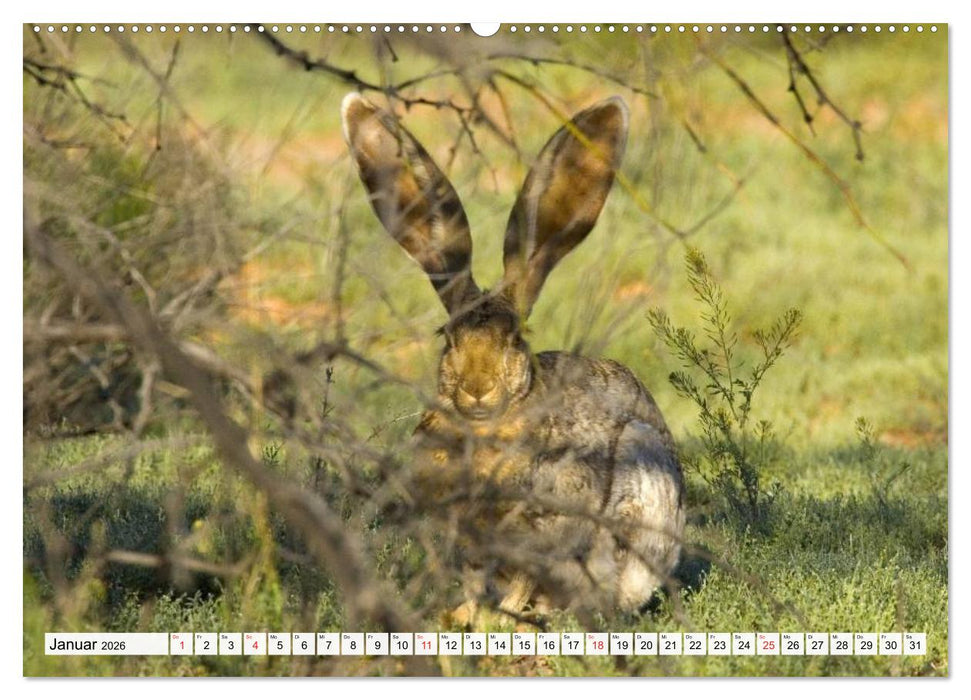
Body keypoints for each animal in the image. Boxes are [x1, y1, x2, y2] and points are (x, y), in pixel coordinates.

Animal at [341, 92, 685, 618]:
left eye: (515, 338)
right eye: (447, 337)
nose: (477, 390)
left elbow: (524, 575)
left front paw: (496, 621)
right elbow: (471, 579)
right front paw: (461, 617)